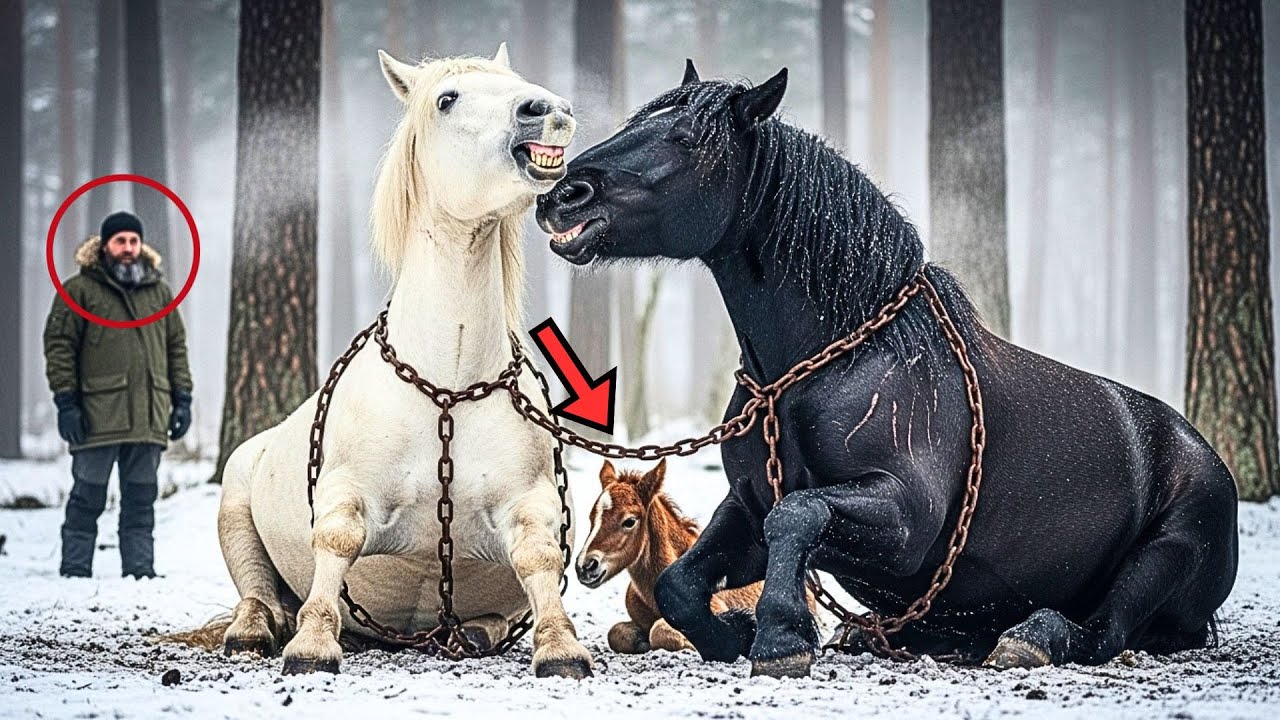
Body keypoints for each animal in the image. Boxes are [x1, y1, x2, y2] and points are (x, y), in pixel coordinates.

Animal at [216, 46, 594, 679]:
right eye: (447, 99)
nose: (548, 110)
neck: (449, 387)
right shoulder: (346, 491)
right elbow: (337, 539)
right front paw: (313, 642)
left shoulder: (529, 499)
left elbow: (541, 554)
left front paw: (560, 646)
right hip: (235, 495)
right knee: (257, 590)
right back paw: (256, 626)